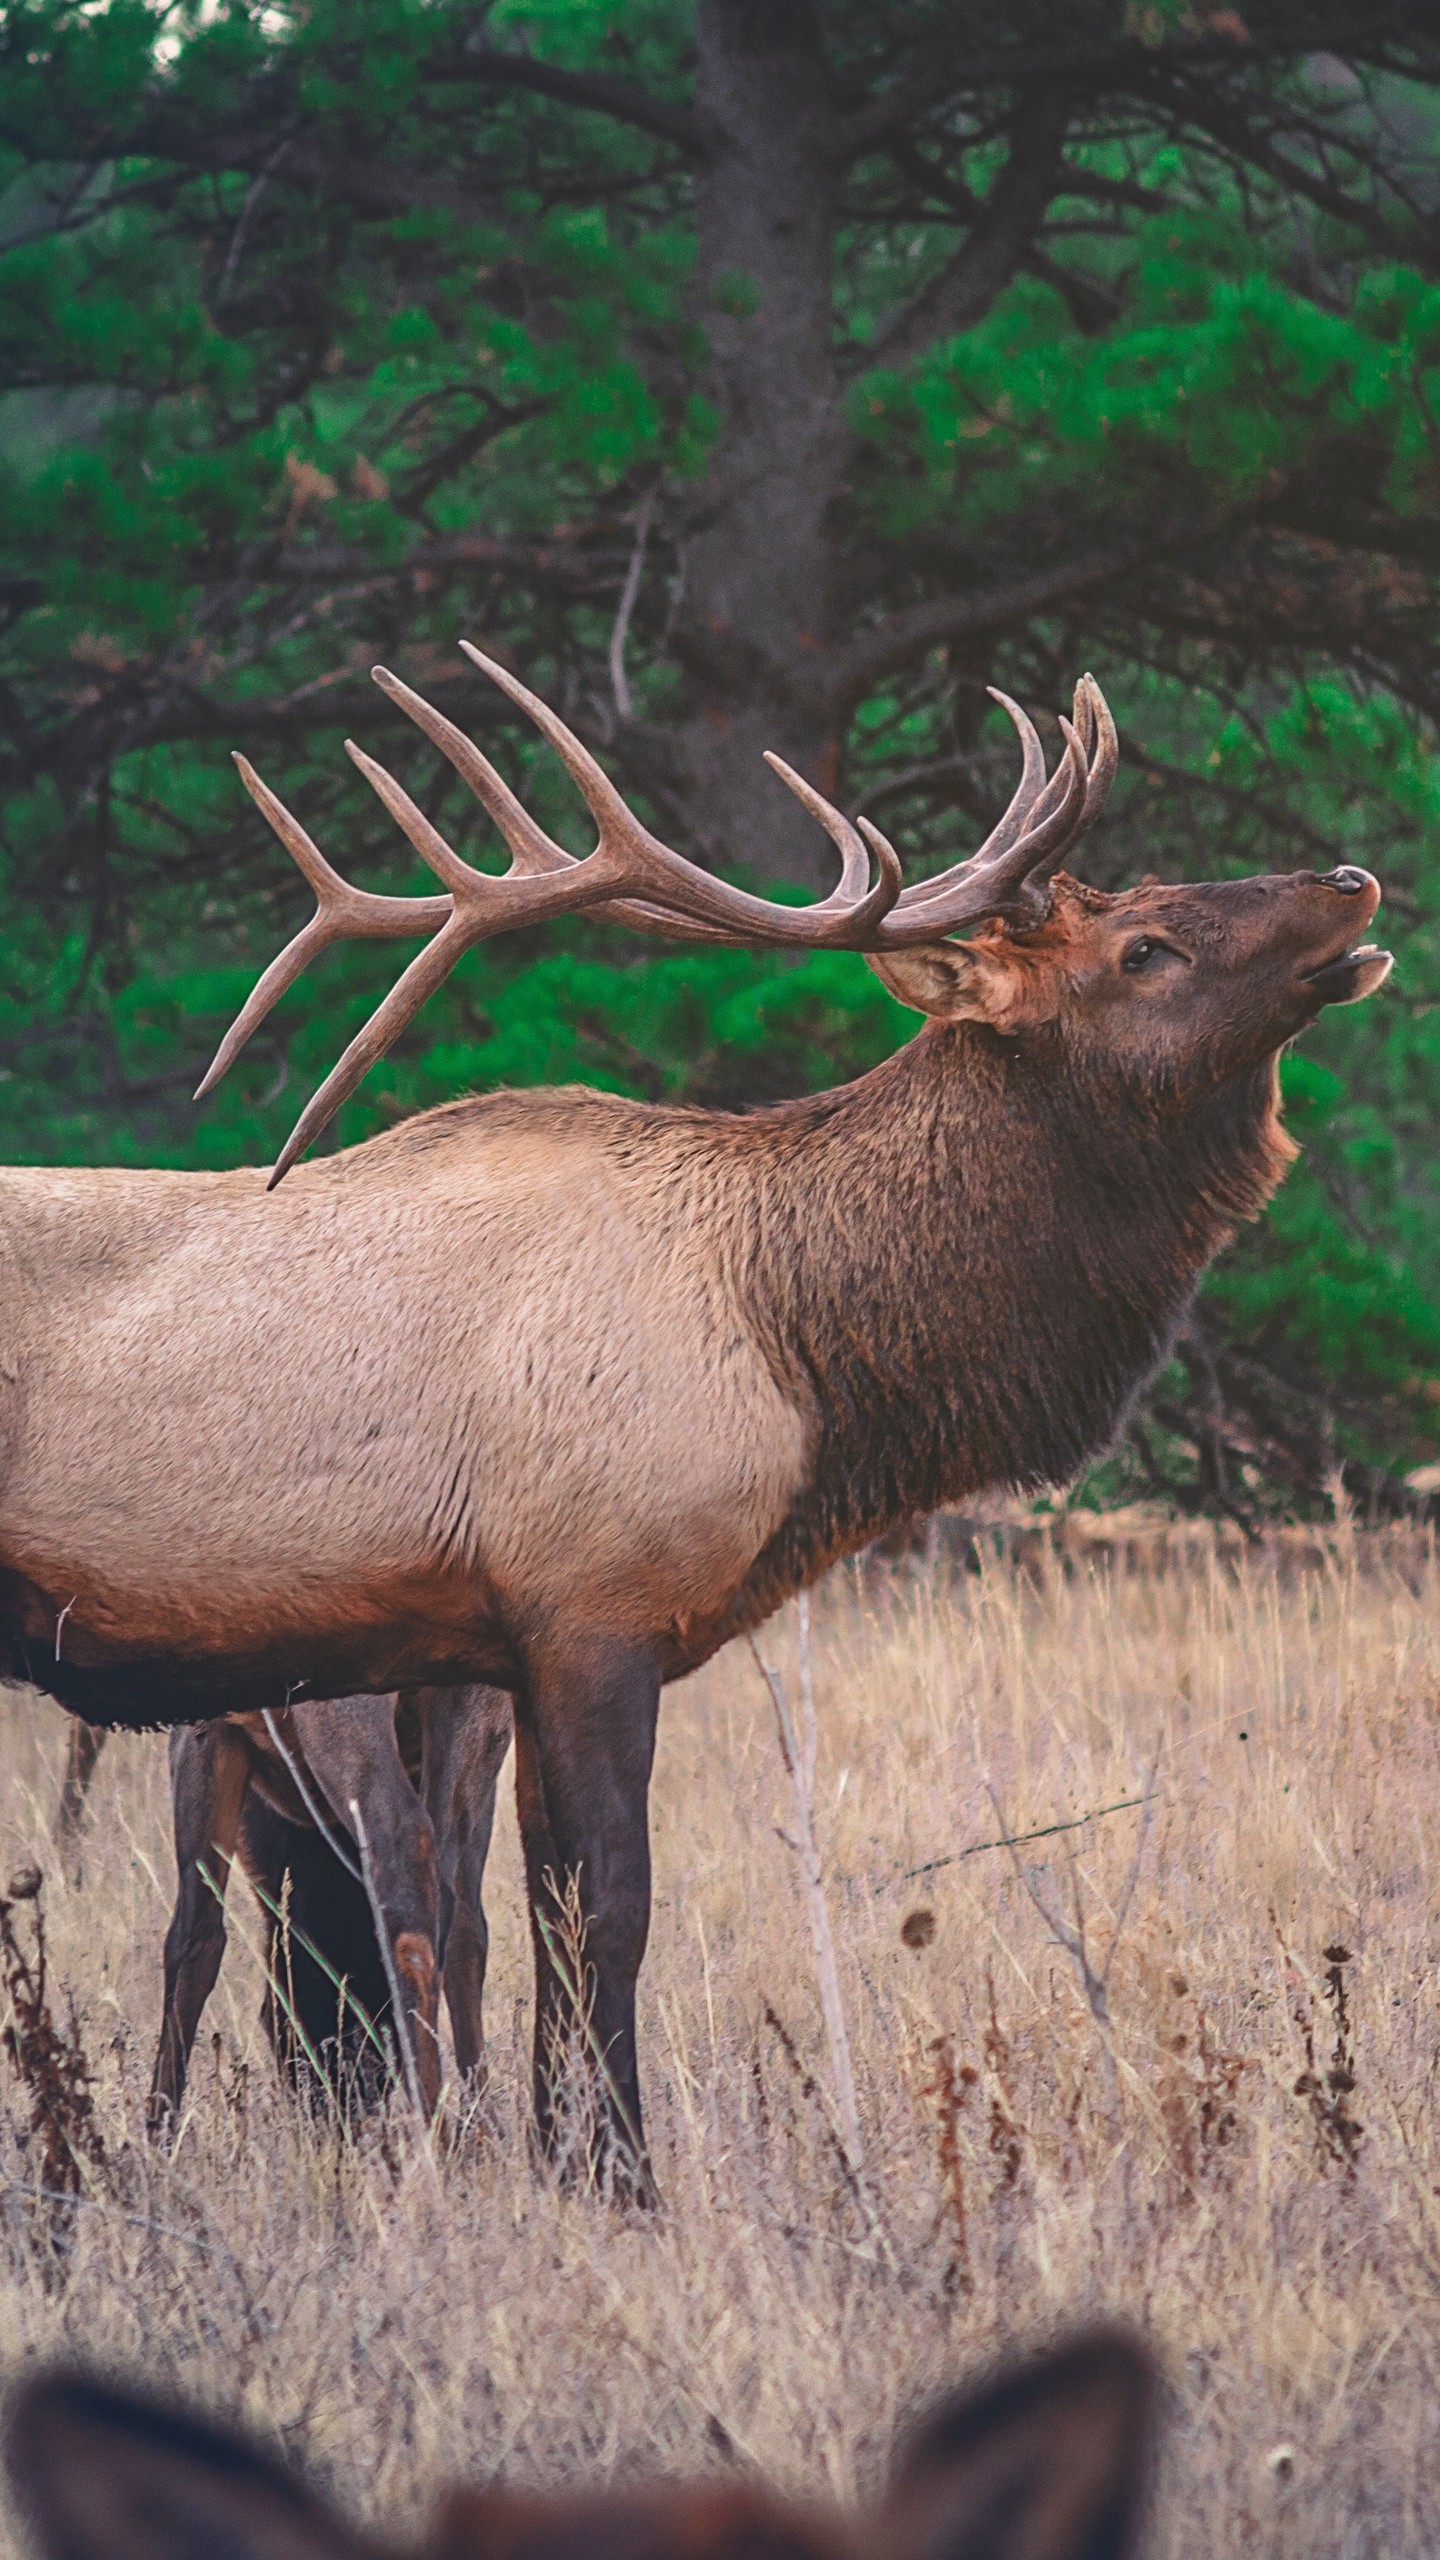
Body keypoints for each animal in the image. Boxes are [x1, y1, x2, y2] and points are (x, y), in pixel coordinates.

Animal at [0, 645, 1393, 2181]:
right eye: (1143, 948)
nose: (1351, 880)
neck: (798, 1355)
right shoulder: (596, 1606)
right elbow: (612, 1912)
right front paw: (626, 2178)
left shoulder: (506, 1645)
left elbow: (533, 1919)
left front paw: (554, 2167)